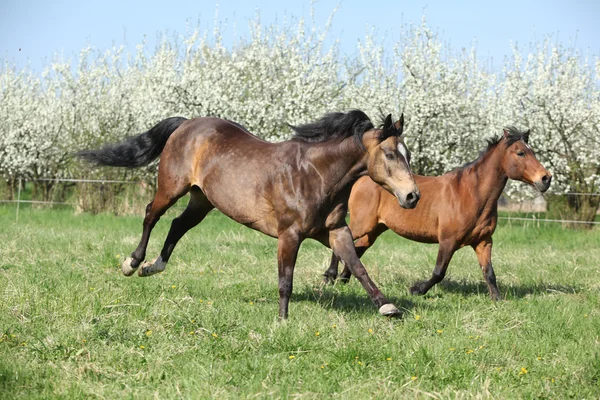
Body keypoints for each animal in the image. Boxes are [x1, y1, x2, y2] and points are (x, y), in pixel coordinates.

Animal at [77, 111, 420, 318]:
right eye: (390, 155)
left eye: (408, 154)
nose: (412, 196)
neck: (314, 174)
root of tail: (187, 124)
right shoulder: (289, 235)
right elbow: (286, 280)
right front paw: (282, 321)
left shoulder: (334, 231)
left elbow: (357, 265)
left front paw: (387, 306)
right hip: (171, 188)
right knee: (152, 215)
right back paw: (133, 263)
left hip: (203, 200)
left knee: (177, 225)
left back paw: (153, 267)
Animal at [324, 128, 552, 300]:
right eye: (520, 153)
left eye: (532, 151)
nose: (546, 178)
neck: (472, 193)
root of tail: (363, 178)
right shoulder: (448, 240)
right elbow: (438, 272)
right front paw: (416, 289)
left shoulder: (484, 241)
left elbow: (489, 273)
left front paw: (497, 299)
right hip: (363, 224)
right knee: (342, 242)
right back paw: (330, 277)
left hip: (376, 229)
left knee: (357, 248)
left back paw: (343, 279)